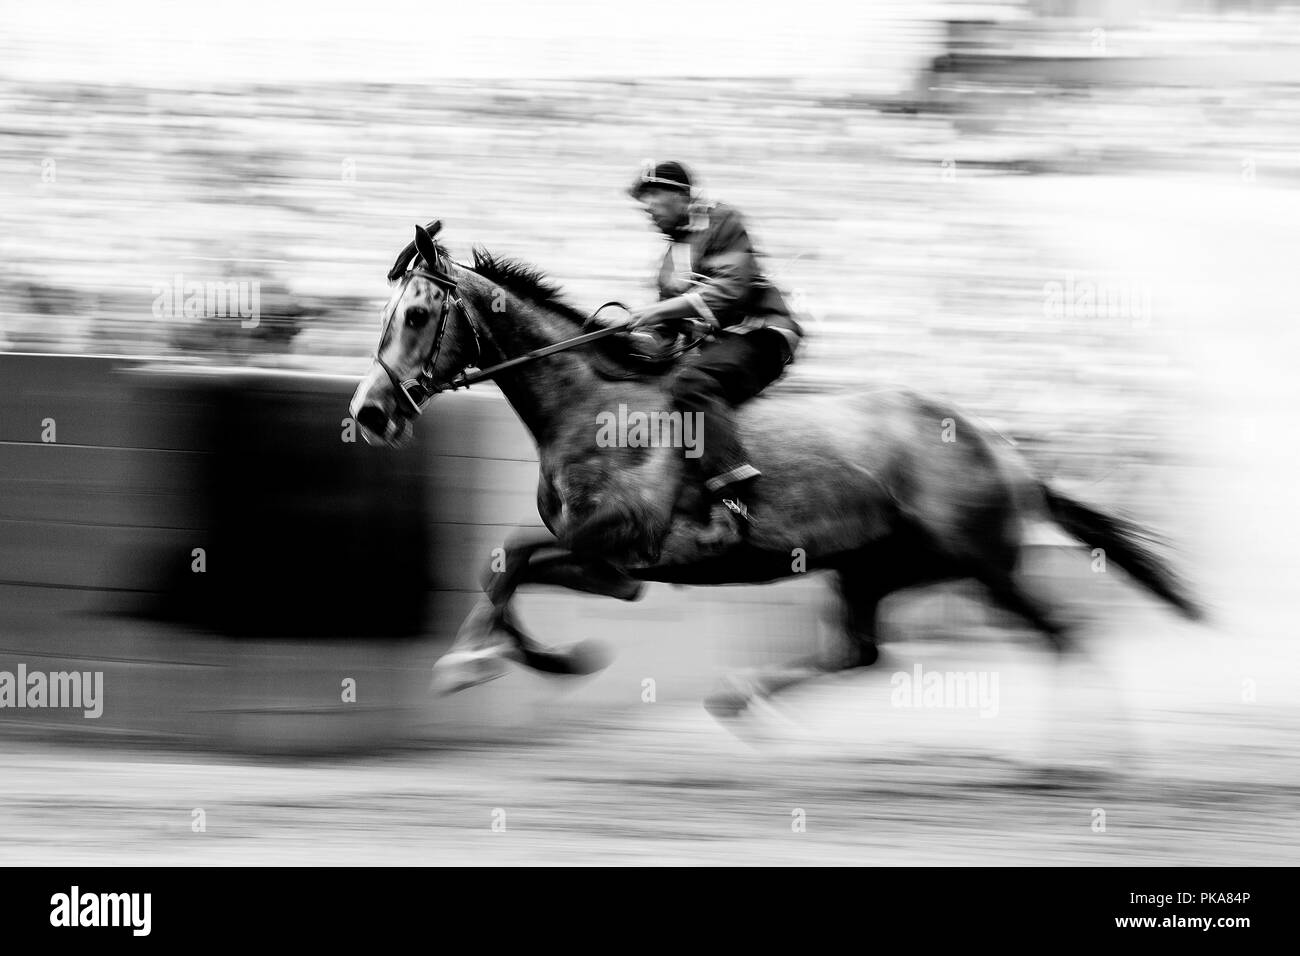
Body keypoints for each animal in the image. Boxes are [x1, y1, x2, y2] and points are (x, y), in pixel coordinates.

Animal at [351, 222, 1201, 717]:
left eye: (417, 314)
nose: (369, 412)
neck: (590, 405)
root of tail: (1005, 448)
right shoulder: (611, 569)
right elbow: (506, 565)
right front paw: (536, 658)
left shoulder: (618, 549)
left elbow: (511, 558)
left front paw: (470, 662)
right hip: (878, 568)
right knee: (861, 653)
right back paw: (741, 696)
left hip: (982, 562)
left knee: (1060, 635)